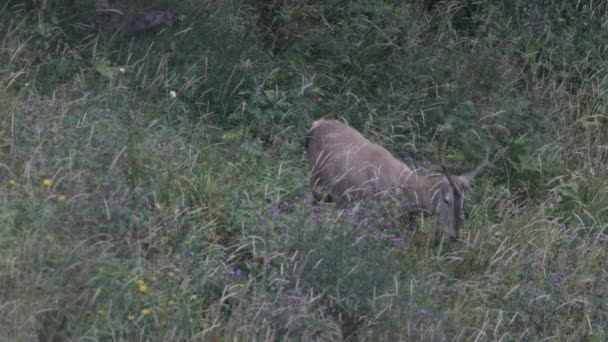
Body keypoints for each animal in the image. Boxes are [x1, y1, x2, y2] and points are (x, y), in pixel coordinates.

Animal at [304, 119, 494, 240]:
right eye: (447, 200)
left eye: (463, 201)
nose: (455, 236)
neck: (409, 194)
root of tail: (314, 125)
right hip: (316, 178)